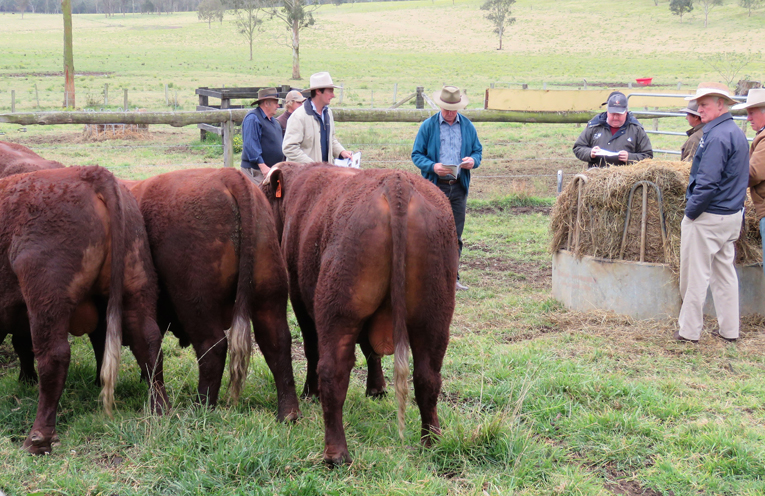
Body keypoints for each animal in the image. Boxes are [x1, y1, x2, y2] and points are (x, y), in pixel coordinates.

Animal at [0, 166, 170, 455]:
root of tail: (90, 172)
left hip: (45, 295)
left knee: (54, 356)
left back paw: (38, 437)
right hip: (137, 279)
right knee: (147, 340)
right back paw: (160, 409)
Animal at [127, 168, 300, 420]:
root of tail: (228, 175)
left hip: (194, 300)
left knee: (213, 346)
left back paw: (201, 406)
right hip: (269, 294)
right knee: (277, 342)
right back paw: (288, 413)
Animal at [260, 162, 458, 465]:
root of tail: (397, 183)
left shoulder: (300, 297)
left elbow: (311, 347)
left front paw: (310, 392)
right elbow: (371, 350)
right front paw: (376, 389)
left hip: (338, 308)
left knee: (332, 370)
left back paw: (335, 454)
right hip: (434, 314)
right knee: (428, 376)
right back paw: (430, 442)